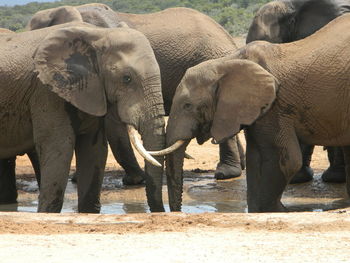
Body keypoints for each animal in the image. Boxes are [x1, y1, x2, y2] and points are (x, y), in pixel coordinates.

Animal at [0, 21, 165, 213]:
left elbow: (94, 150)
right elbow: (60, 148)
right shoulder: (46, 92)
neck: (99, 33)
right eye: (127, 78)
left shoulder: (92, 90)